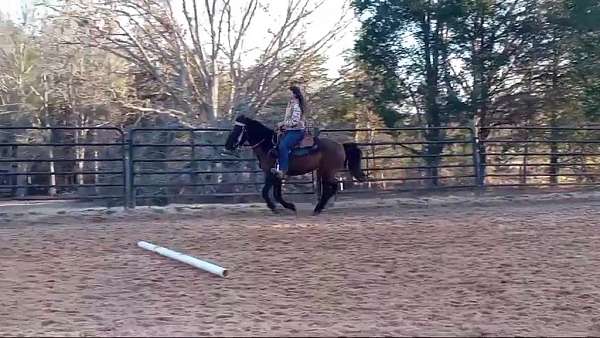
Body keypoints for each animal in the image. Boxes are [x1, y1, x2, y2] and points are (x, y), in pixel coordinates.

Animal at [224, 115, 368, 215]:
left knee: (332, 187)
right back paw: (319, 208)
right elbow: (277, 194)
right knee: (330, 188)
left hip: (328, 171)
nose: (228, 145)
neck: (269, 145)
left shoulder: (271, 174)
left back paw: (318, 208)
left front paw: (275, 208)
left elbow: (265, 192)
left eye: (238, 129)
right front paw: (289, 206)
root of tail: (341, 146)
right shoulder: (277, 175)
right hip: (323, 171)